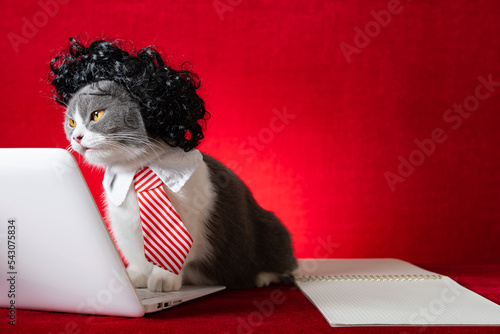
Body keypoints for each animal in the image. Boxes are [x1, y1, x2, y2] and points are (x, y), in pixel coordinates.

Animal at [62, 81, 296, 292]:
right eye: (72, 122)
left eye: (97, 114)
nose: (76, 137)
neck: (138, 168)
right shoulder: (123, 226)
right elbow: (136, 254)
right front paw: (134, 276)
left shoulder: (189, 221)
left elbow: (172, 253)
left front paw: (163, 279)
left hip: (270, 231)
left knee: (283, 263)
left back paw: (262, 277)